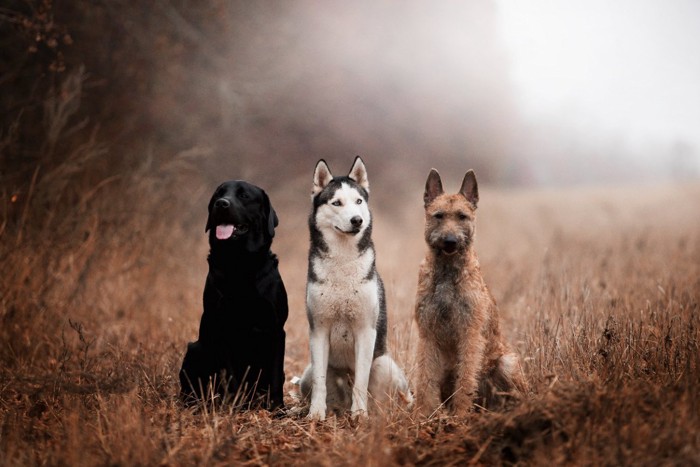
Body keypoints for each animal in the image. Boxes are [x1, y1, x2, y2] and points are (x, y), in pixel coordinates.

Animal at [183, 180, 290, 410]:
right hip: (194, 349)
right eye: (218, 194)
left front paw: (277, 409)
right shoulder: (222, 328)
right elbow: (229, 376)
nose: (221, 204)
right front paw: (233, 407)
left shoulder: (277, 330)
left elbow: (275, 376)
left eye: (244, 196)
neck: (240, 262)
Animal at [412, 169, 524, 416]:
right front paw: (423, 415)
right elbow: (424, 378)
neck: (447, 272)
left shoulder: (470, 332)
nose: (450, 241)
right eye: (438, 216)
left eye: (462, 216)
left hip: (507, 363)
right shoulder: (427, 334)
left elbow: (465, 378)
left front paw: (460, 415)